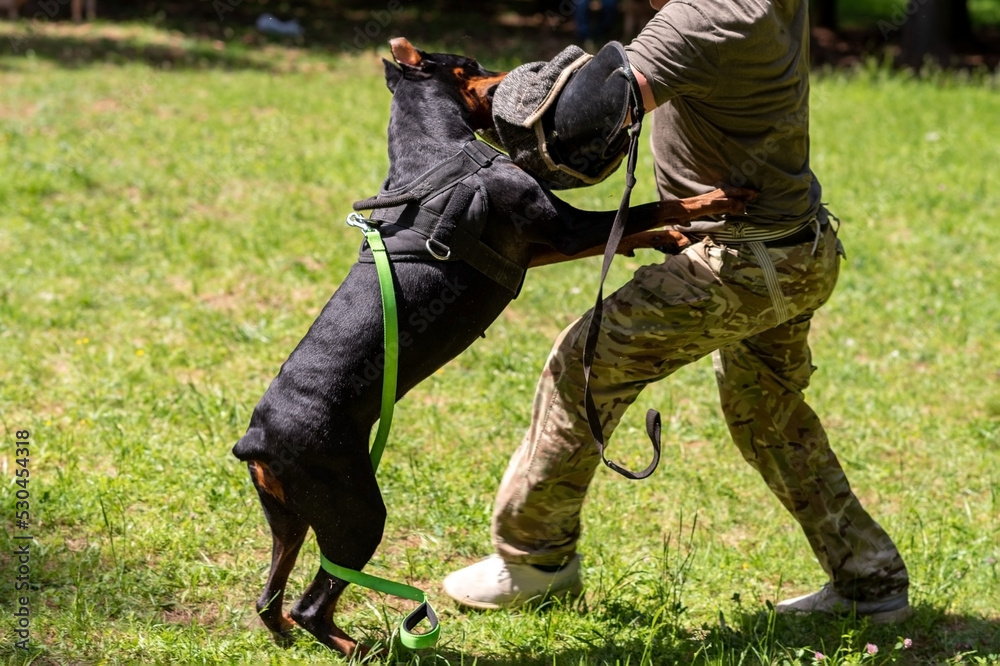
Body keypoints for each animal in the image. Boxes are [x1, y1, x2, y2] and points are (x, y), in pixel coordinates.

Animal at [234, 36, 752, 652]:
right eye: (472, 64)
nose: (512, 72)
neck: (437, 150)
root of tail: (256, 439)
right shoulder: (563, 229)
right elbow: (649, 208)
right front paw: (717, 198)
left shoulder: (542, 245)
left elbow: (632, 226)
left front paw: (670, 237)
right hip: (356, 511)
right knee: (313, 602)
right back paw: (367, 648)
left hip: (289, 516)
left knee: (271, 599)